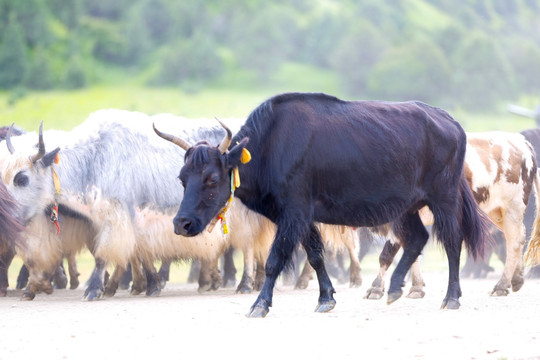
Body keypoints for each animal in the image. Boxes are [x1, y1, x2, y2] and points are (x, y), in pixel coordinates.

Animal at [368, 131, 540, 300]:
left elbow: (386, 255)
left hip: (513, 207)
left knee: (513, 242)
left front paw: (376, 288)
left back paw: (502, 285)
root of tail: (520, 140)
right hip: (496, 211)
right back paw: (516, 279)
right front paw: (416, 287)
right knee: (519, 235)